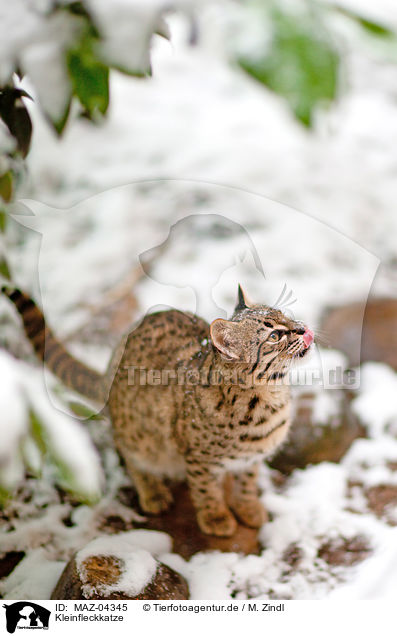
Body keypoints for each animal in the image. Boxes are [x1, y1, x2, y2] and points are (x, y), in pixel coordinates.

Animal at [2, 286, 312, 536]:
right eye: (275, 335)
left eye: (284, 316)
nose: (303, 329)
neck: (269, 399)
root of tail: (108, 370)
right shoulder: (198, 459)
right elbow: (206, 490)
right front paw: (216, 518)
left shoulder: (251, 458)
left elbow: (247, 483)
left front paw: (248, 507)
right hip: (139, 436)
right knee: (128, 454)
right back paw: (152, 492)